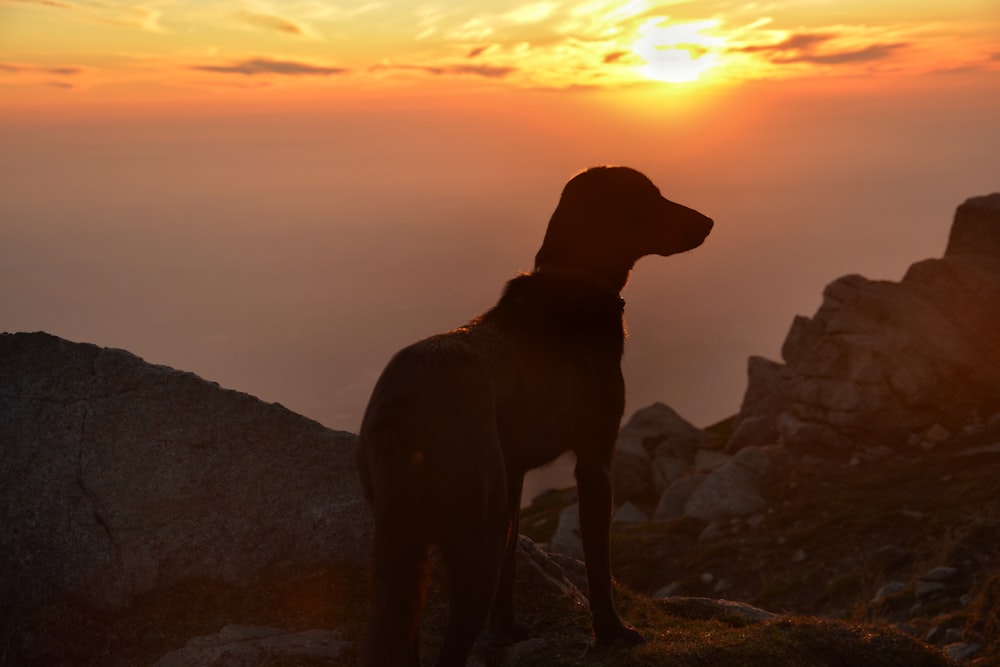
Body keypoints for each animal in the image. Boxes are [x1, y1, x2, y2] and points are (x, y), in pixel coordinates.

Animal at [356, 164, 716, 664]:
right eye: (650, 197)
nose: (708, 222)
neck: (577, 278)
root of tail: (407, 401)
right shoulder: (594, 459)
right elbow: (599, 563)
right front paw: (611, 631)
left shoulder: (515, 474)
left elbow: (514, 559)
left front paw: (506, 628)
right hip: (475, 534)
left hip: (402, 543)